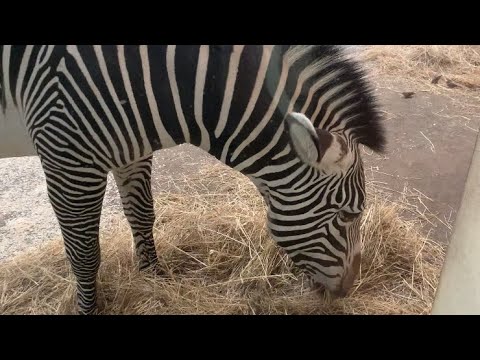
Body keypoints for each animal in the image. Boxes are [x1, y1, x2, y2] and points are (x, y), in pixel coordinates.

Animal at [0, 45, 382, 316]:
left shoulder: (130, 149)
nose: (347, 289)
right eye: (349, 214)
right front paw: (88, 309)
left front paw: (154, 281)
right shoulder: (66, 154)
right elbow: (84, 251)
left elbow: (142, 215)